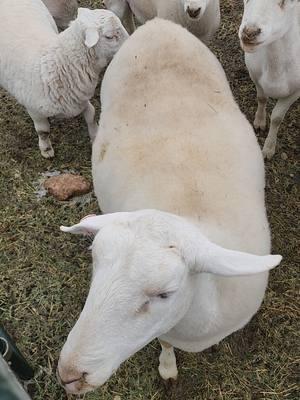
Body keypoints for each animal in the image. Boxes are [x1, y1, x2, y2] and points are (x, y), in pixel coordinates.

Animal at [0, 0, 127, 159]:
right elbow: (43, 131)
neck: (60, 63)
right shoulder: (34, 110)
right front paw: (46, 149)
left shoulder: (79, 97)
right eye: (109, 36)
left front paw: (95, 136)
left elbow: (91, 115)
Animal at [55, 18, 282, 394]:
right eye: (95, 264)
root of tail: (157, 24)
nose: (70, 375)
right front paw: (167, 367)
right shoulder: (167, 330)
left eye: (165, 294)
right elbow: (163, 343)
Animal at [239, 0, 300, 159]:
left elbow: (277, 118)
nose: (249, 32)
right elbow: (261, 99)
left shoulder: (295, 92)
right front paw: (259, 122)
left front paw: (268, 149)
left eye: (284, 1)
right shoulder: (255, 76)